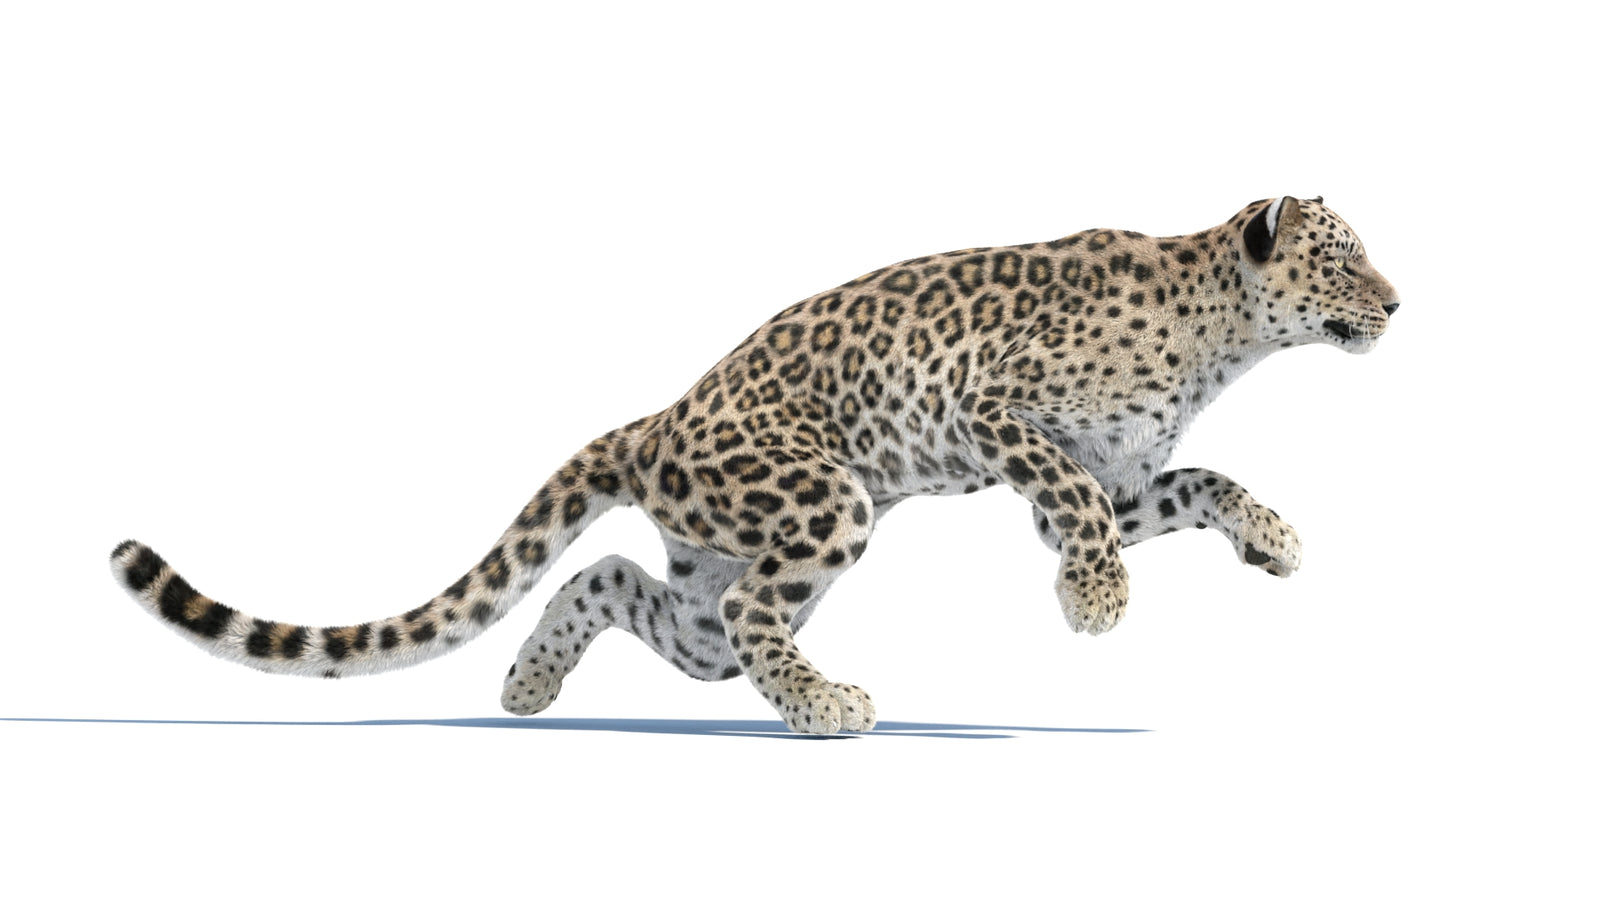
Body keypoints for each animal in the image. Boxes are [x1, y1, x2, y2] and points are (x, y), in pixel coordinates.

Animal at [110, 196, 1398, 735]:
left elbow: (1200, 485)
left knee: (632, 590)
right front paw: (1093, 603)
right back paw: (826, 707)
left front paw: (1274, 538)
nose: (1396, 302)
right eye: (1341, 261)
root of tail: (657, 420)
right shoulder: (999, 410)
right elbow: (1076, 506)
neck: (1221, 339)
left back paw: (527, 687)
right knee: (743, 616)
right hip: (822, 499)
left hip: (713, 568)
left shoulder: (1133, 483)